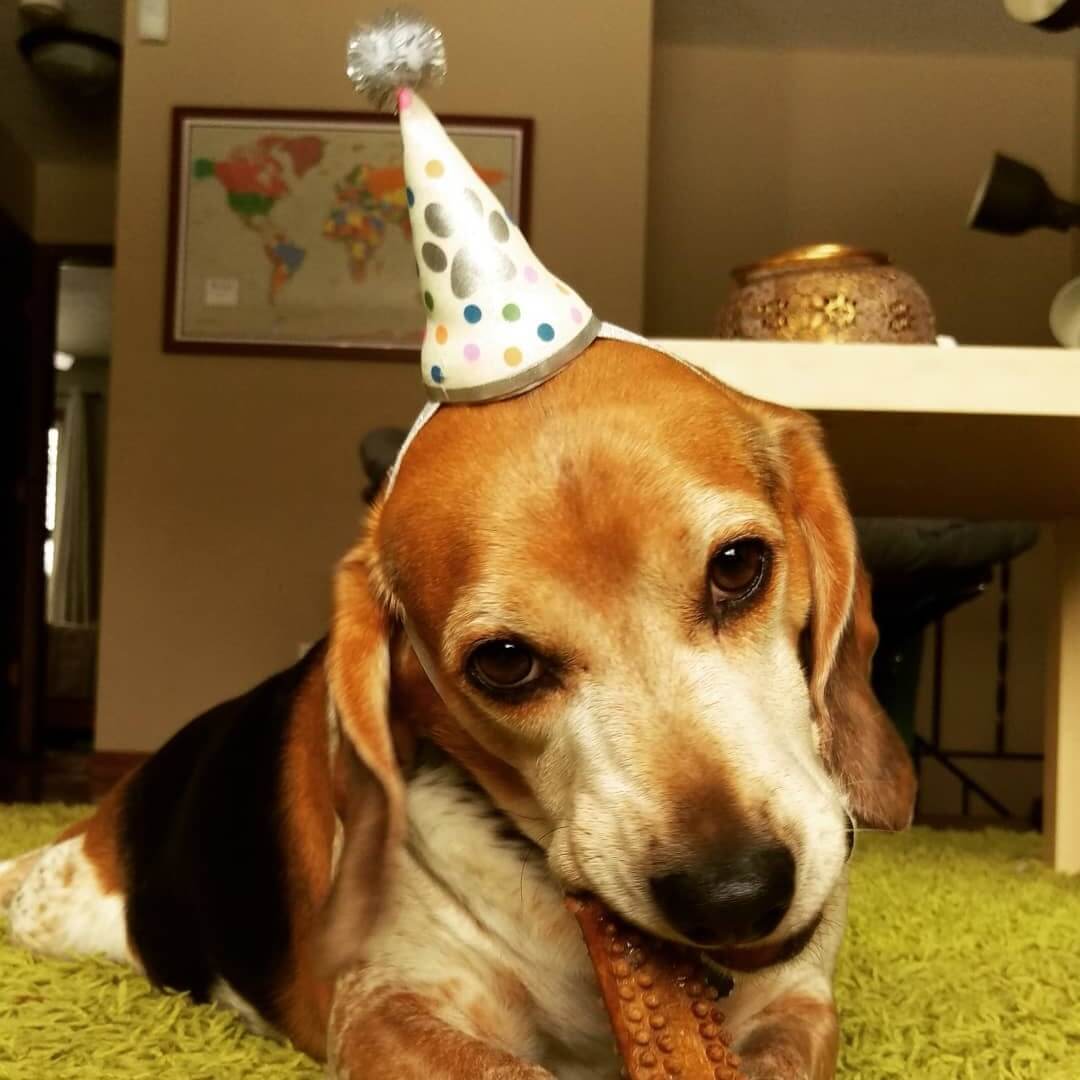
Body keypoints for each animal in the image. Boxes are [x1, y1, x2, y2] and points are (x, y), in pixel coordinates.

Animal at [0, 339, 915, 1080]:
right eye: (505, 663)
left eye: (737, 567)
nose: (733, 894)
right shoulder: (387, 1012)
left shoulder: (799, 1001)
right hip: (60, 909)